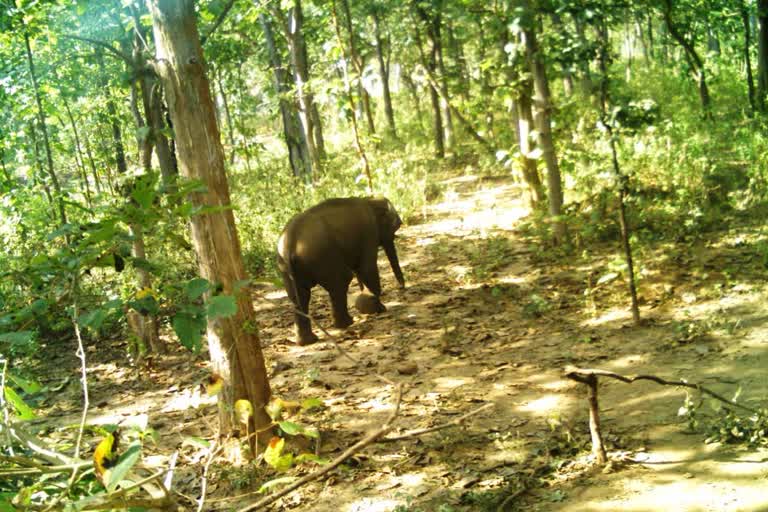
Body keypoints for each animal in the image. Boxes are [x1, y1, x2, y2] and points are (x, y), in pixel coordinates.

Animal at [278, 196, 408, 344]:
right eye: (395, 228)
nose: (401, 287)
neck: (370, 200)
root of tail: (289, 246)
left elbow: (359, 269)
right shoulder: (369, 232)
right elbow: (366, 268)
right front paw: (379, 309)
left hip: (286, 269)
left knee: (298, 297)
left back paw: (308, 340)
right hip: (323, 257)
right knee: (341, 281)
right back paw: (347, 323)